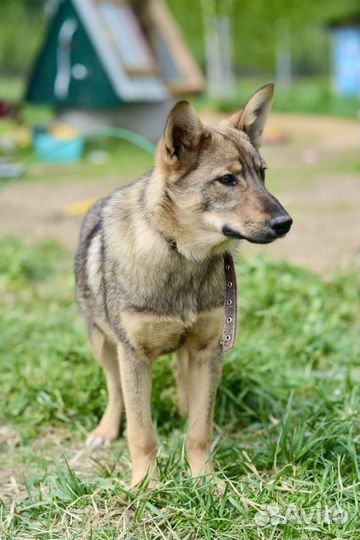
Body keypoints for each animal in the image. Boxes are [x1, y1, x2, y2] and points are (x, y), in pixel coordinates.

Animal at [75, 83, 292, 486]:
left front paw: (204, 480)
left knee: (182, 379)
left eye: (262, 174)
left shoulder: (210, 349)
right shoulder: (133, 355)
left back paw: (182, 407)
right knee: (113, 390)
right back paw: (105, 431)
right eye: (228, 180)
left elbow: (199, 429)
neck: (182, 257)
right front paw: (145, 485)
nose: (285, 223)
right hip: (102, 344)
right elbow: (141, 432)